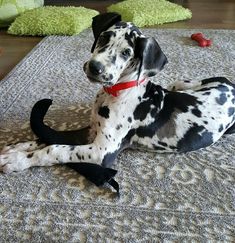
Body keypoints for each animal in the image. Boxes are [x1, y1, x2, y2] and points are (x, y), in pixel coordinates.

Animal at [0, 13, 235, 182]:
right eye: (104, 37)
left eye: (126, 53)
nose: (95, 67)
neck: (116, 93)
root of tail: (230, 85)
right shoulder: (92, 131)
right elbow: (53, 136)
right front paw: (17, 148)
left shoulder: (101, 151)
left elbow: (55, 148)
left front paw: (18, 160)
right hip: (184, 83)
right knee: (177, 84)